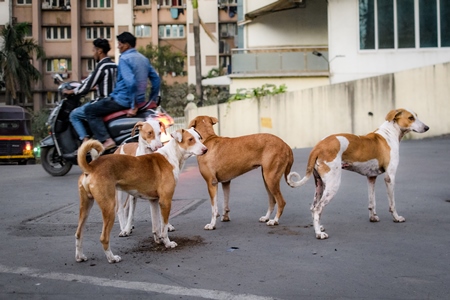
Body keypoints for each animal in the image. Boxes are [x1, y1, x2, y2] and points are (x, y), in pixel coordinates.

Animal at [74, 127, 207, 264]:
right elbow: (164, 227)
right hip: (109, 207)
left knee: (79, 233)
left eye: (199, 138)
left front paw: (158, 240)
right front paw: (168, 243)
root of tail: (91, 166)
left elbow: (156, 226)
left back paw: (80, 256)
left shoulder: (154, 201)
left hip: (85, 207)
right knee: (104, 237)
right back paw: (112, 258)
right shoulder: (165, 201)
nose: (205, 149)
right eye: (190, 139)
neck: (171, 156)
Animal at [286, 109, 430, 240]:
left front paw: (373, 217)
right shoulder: (390, 177)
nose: (427, 127)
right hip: (333, 185)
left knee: (313, 207)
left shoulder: (371, 177)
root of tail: (318, 147)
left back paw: (319, 227)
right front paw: (396, 218)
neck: (389, 134)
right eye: (411, 118)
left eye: (416, 116)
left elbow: (372, 202)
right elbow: (392, 204)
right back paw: (319, 234)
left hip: (319, 185)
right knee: (318, 208)